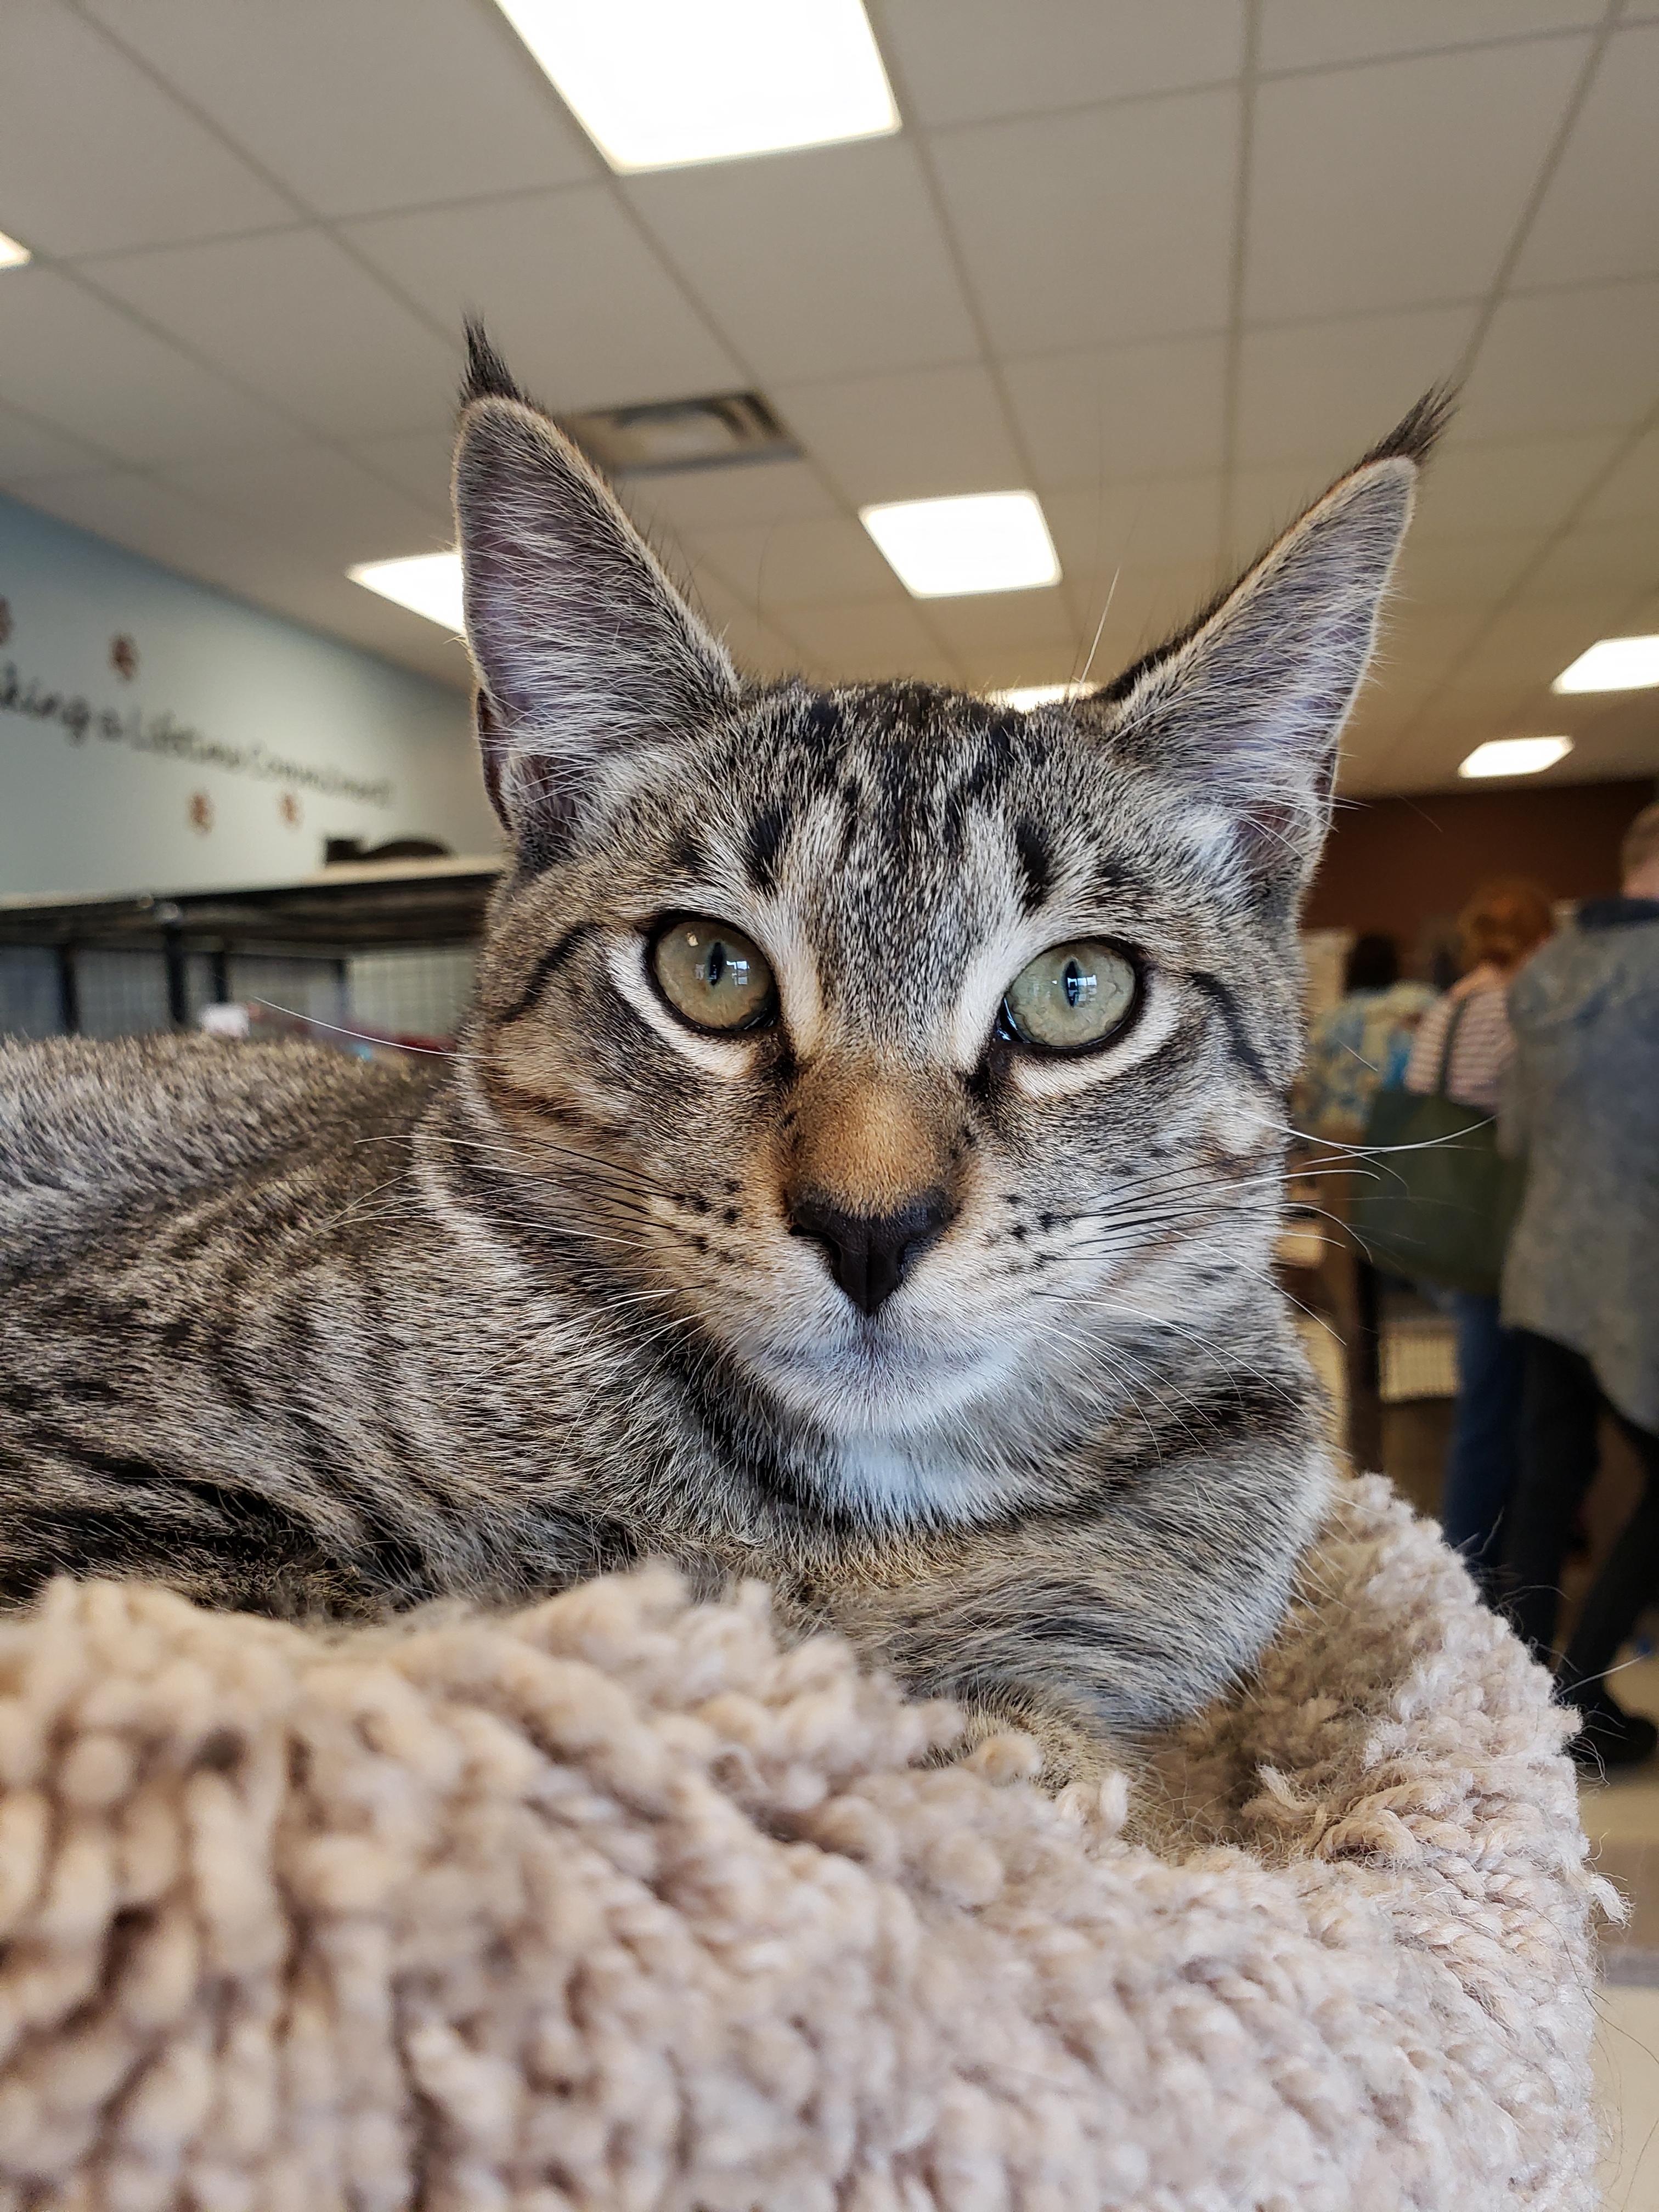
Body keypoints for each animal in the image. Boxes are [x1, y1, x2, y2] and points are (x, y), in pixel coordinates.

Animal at [0, 340, 1442, 1760]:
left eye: (1076, 990)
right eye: (711, 969)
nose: (873, 1224)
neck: (856, 1524)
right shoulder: (87, 1473)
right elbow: (398, 1629)